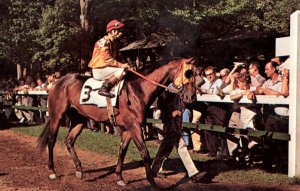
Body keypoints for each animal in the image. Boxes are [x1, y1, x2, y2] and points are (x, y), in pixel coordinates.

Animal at [37, 57, 197, 187]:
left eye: (195, 74)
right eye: (188, 74)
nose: (192, 97)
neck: (137, 89)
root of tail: (58, 82)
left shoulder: (128, 128)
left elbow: (122, 151)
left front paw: (120, 177)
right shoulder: (134, 126)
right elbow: (144, 152)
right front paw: (151, 181)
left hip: (79, 119)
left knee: (69, 140)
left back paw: (79, 170)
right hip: (56, 116)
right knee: (51, 141)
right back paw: (52, 171)